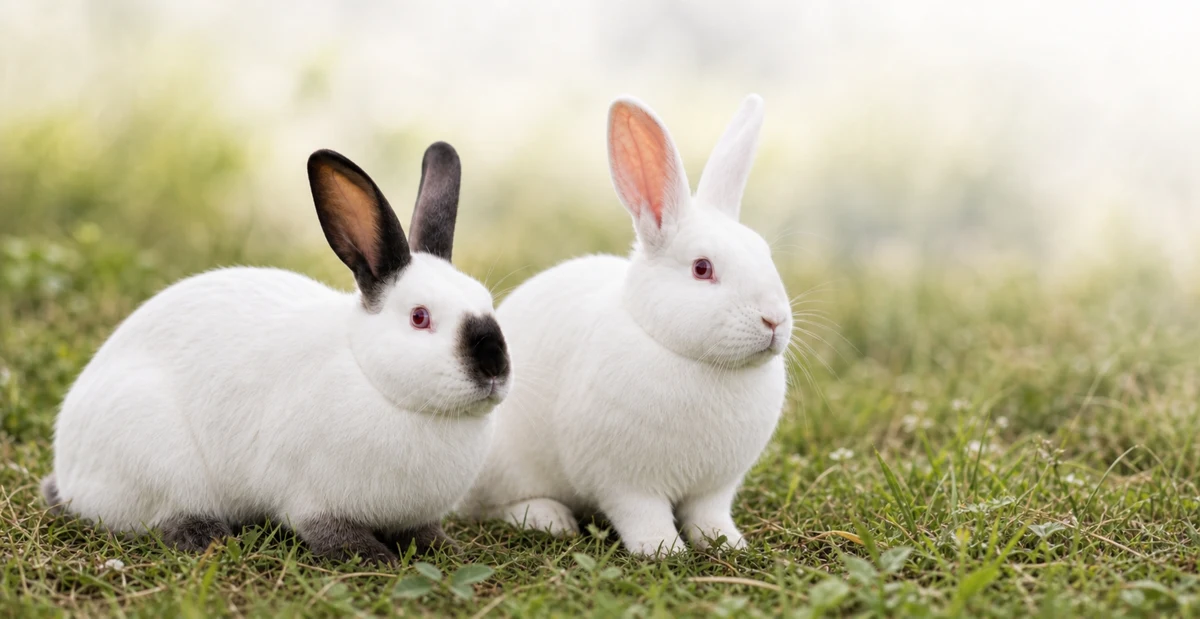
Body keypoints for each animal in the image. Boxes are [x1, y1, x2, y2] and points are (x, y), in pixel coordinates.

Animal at [42, 142, 511, 564]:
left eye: (487, 301)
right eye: (419, 317)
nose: (494, 367)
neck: (376, 382)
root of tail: (68, 472)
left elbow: (421, 532)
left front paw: (447, 550)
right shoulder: (311, 498)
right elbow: (329, 531)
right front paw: (375, 558)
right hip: (159, 461)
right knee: (168, 516)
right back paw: (211, 538)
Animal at [460, 95, 791, 557]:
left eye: (765, 253)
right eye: (702, 268)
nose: (774, 319)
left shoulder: (715, 488)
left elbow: (708, 515)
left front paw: (728, 543)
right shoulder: (625, 484)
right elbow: (644, 517)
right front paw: (663, 551)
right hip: (502, 467)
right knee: (490, 507)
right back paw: (550, 519)